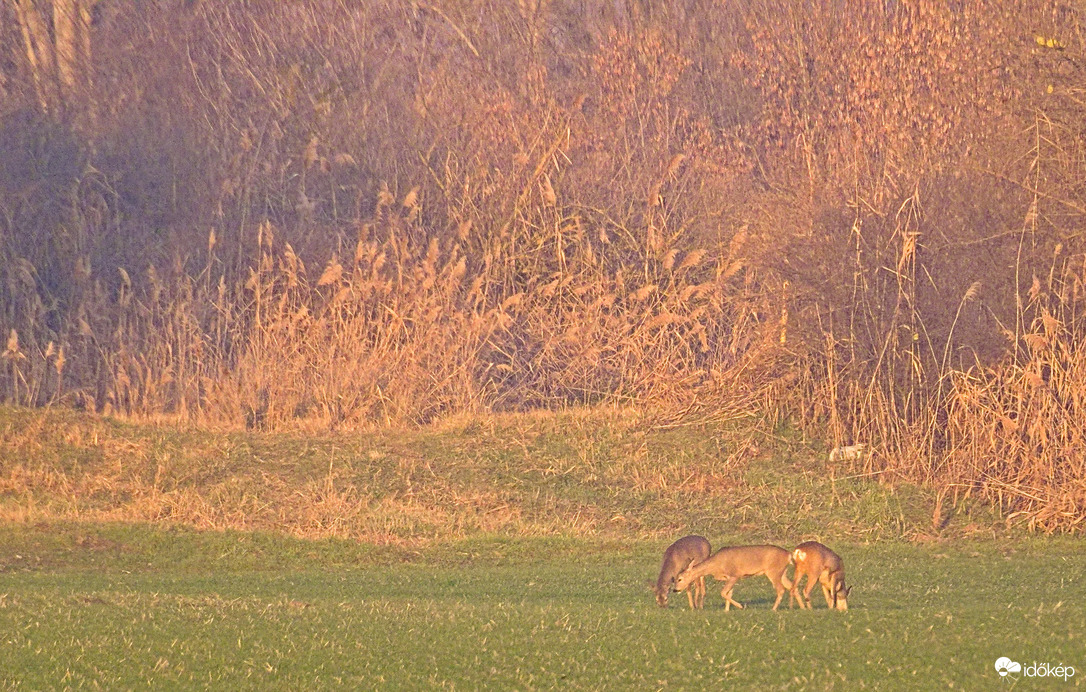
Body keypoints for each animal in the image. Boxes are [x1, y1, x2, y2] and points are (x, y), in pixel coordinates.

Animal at [668, 545, 799, 608]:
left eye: (680, 579)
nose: (675, 590)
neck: (715, 565)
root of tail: (789, 554)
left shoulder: (734, 575)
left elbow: (723, 592)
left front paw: (740, 606)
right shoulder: (729, 578)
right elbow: (728, 593)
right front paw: (727, 610)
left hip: (773, 571)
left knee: (781, 589)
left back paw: (773, 609)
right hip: (782, 572)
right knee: (793, 586)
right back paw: (800, 607)